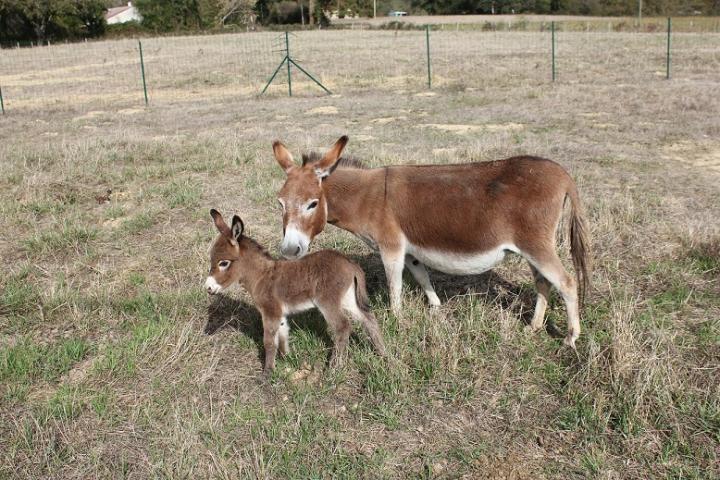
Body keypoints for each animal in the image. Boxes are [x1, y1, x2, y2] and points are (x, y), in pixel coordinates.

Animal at [205, 210, 386, 378]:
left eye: (224, 263)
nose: (208, 288)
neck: (261, 276)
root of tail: (350, 264)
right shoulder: (280, 314)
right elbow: (283, 335)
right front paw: (287, 358)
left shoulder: (270, 311)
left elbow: (269, 342)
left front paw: (267, 373)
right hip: (348, 299)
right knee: (368, 319)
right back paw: (382, 353)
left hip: (328, 302)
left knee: (342, 327)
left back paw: (334, 369)